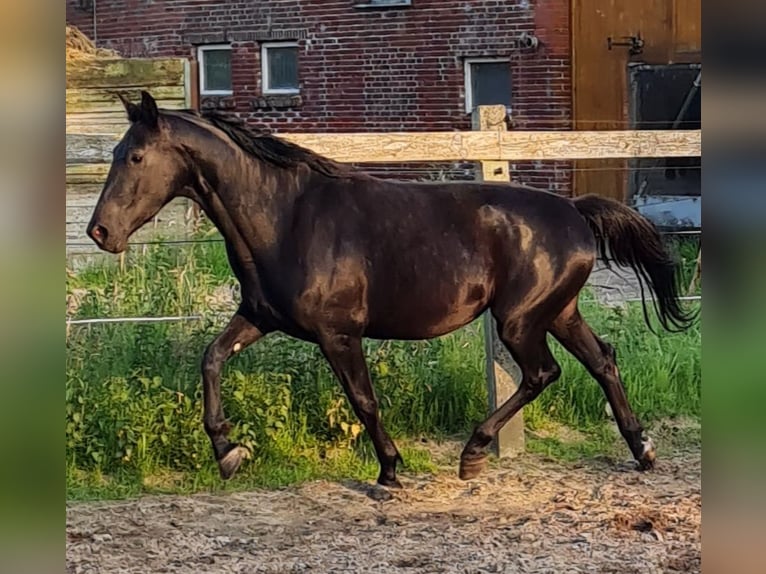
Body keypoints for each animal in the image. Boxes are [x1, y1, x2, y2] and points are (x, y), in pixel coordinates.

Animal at [87, 92, 700, 488]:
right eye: (114, 153)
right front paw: (229, 451)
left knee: (543, 373)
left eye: (135, 156)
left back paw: (474, 454)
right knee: (602, 360)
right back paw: (642, 451)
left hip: (520, 320)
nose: (100, 232)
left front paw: (389, 471)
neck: (286, 218)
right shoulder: (260, 316)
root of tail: (575, 211)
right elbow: (212, 359)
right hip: (559, 312)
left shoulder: (338, 333)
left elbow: (363, 399)